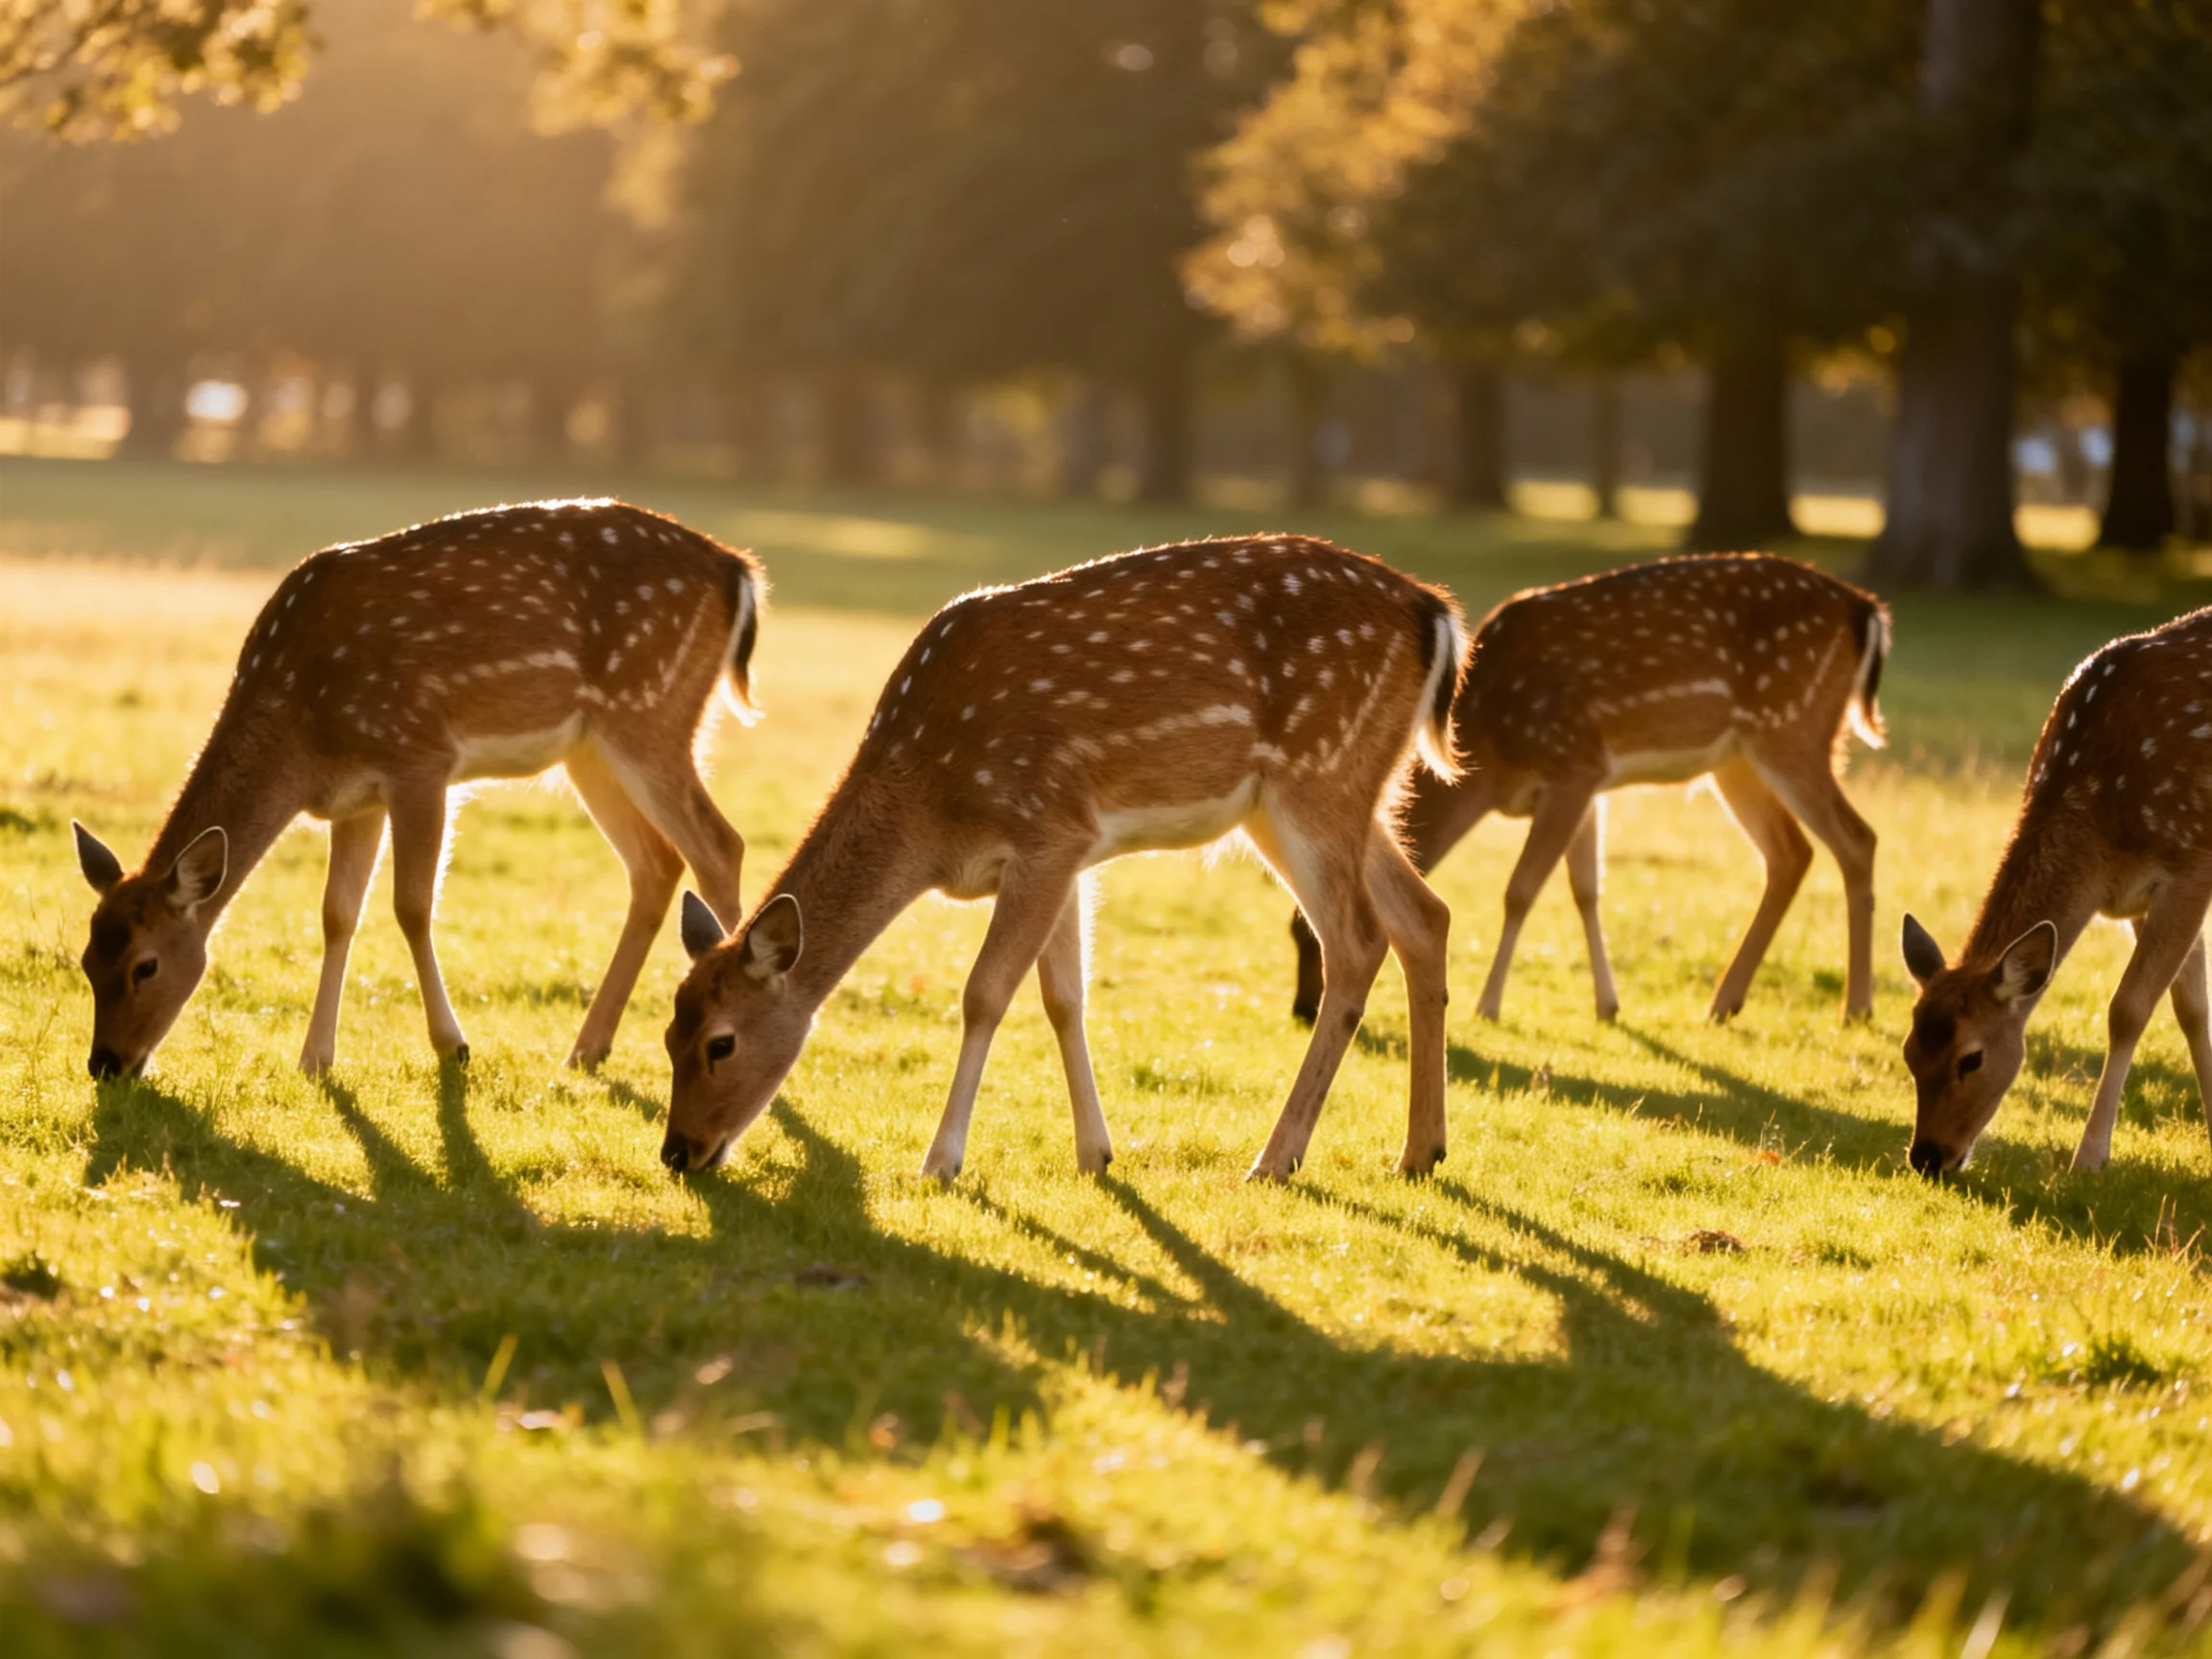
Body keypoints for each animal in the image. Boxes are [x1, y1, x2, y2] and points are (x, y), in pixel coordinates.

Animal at [73, 499, 761, 1081]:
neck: (302, 731)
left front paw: (452, 1044)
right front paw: (315, 1057)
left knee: (719, 845)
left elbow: (411, 904)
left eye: (145, 965)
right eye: (85, 961)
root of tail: (739, 571)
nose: (106, 1064)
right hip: (591, 749)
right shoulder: (355, 797)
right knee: (657, 862)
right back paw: (586, 1049)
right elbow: (337, 913)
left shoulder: (420, 757)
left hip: (649, 711)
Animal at [659, 533, 1468, 1184]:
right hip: (1328, 796)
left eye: (720, 1043)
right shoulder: (1069, 852)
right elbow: (1064, 996)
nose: (677, 1151)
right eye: (667, 1033)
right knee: (1425, 915)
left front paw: (941, 1162)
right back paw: (1420, 1151)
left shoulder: (1046, 830)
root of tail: (1438, 616)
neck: (929, 809)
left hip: (1315, 776)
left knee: (1357, 940)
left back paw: (1276, 1157)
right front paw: (1096, 1153)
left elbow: (985, 993)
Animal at [1288, 553, 1889, 1027]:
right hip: (1738, 759)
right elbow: (1586, 889)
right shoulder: (1590, 781)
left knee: (1856, 838)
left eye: (1308, 939)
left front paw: (1488, 1005)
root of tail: (1866, 612)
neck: (1488, 754)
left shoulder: (1571, 766)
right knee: (1790, 853)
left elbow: (1521, 888)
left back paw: (1856, 1007)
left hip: (1793, 728)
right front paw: (1608, 1005)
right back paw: (1725, 1002)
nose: (1302, 1010)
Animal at [1901, 606, 2212, 1175]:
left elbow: (2128, 1009)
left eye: (1971, 1058)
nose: (1927, 1157)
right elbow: (2192, 1010)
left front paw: (2089, 1158)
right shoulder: (2145, 896)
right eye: (1909, 1052)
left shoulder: (2191, 861)